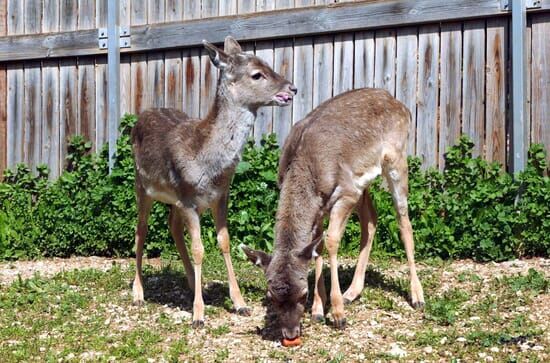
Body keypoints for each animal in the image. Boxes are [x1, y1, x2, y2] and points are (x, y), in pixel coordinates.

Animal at [132, 35, 298, 328]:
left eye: (268, 64)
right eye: (257, 74)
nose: (292, 88)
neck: (208, 165)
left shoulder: (219, 196)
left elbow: (225, 242)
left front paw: (240, 303)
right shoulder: (188, 199)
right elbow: (199, 249)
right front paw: (198, 315)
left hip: (173, 198)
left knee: (172, 226)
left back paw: (191, 282)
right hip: (143, 185)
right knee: (140, 230)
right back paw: (138, 292)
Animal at [243, 89, 426, 344]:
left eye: (303, 294)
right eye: (271, 296)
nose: (290, 333)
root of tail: (401, 105)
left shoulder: (346, 193)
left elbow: (330, 242)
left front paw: (338, 315)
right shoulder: (321, 208)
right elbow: (316, 248)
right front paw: (319, 311)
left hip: (396, 159)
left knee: (403, 221)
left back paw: (417, 297)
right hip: (363, 182)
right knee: (371, 219)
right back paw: (352, 292)